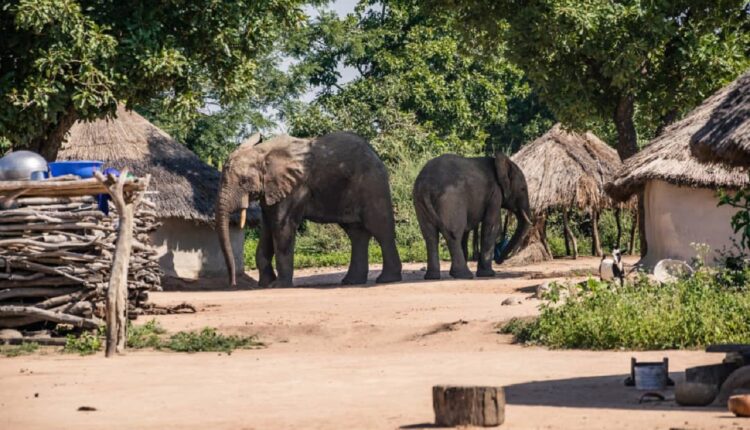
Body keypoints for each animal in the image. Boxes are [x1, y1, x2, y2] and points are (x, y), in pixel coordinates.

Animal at [216, 131, 402, 288]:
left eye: (244, 181)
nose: (233, 283)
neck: (263, 152)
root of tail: (375, 154)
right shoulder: (271, 191)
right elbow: (267, 230)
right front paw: (265, 285)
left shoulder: (294, 187)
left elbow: (282, 227)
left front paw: (279, 286)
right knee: (356, 233)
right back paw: (351, 282)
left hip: (372, 183)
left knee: (379, 228)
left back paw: (387, 280)